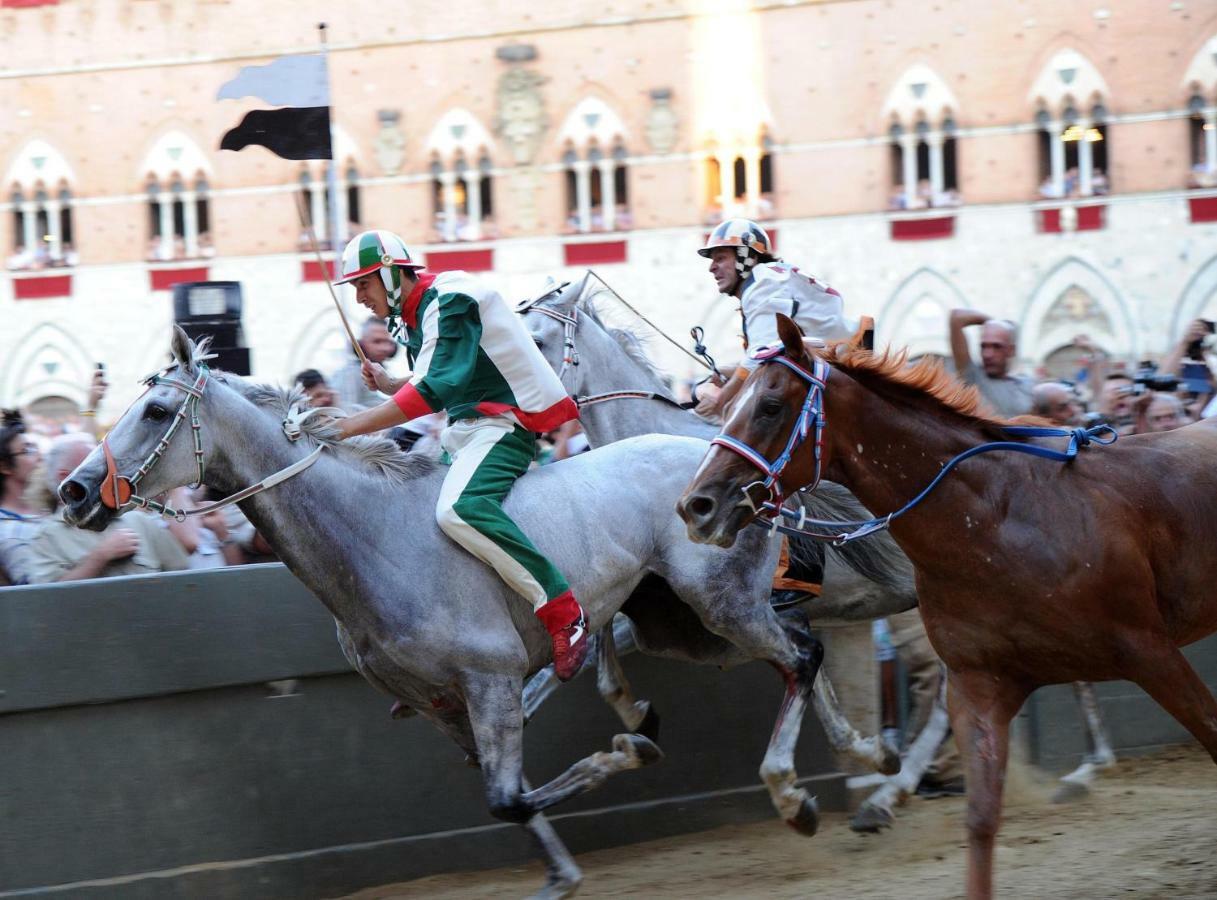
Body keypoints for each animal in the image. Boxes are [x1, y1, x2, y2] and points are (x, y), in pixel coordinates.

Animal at [676, 313, 1217, 895]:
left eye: (771, 405)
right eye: (723, 404)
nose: (696, 505)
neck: (997, 520)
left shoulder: (1151, 652)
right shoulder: (978, 683)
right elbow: (980, 821)